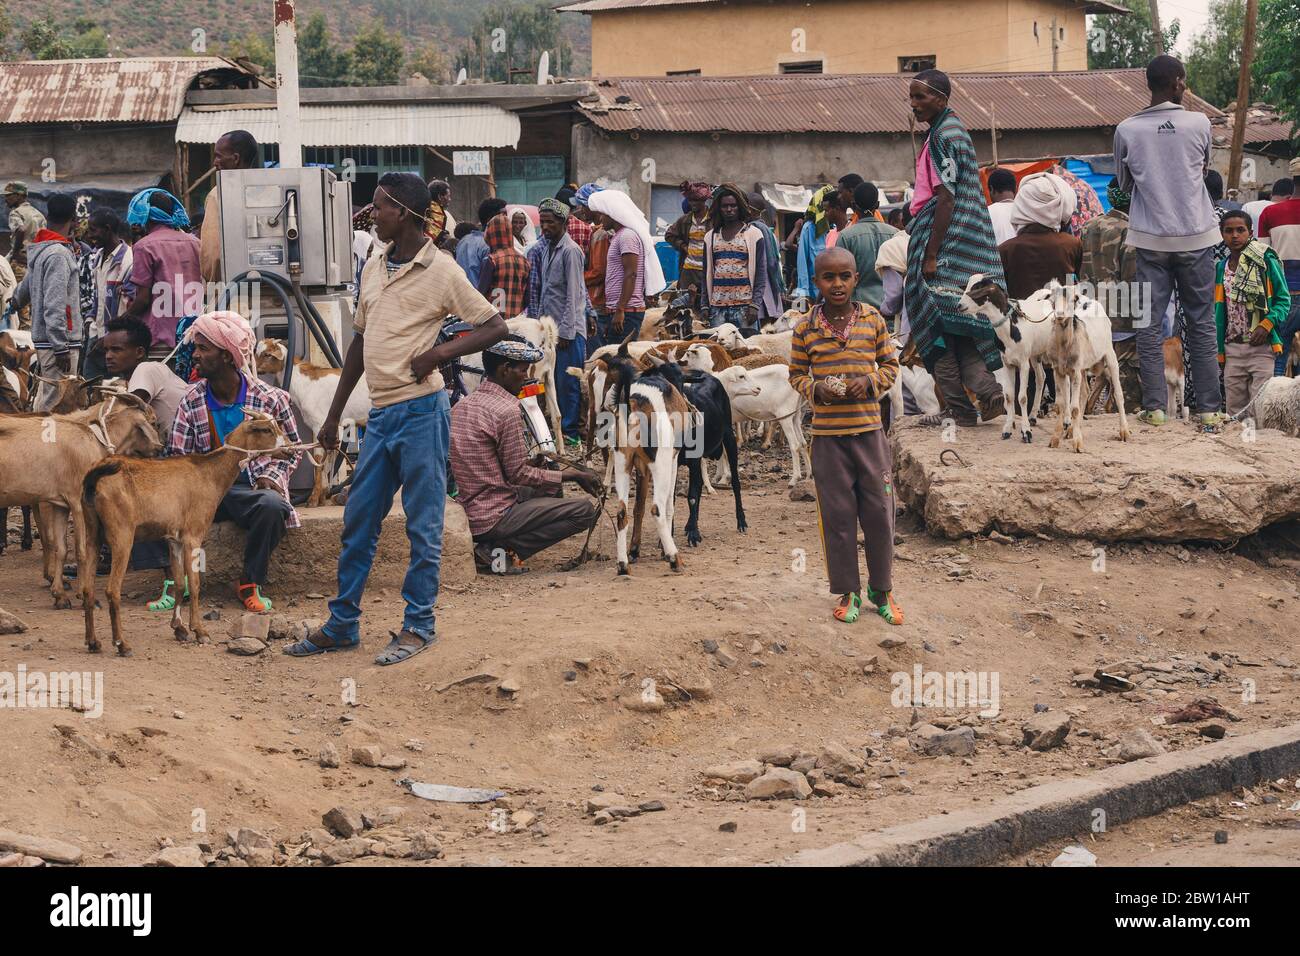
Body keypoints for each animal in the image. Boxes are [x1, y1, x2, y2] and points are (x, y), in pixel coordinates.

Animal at [0, 395, 159, 606]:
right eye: (153, 421)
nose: (160, 448)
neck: (94, 440)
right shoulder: (78, 503)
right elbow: (82, 550)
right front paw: (84, 595)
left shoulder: (60, 504)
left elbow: (61, 548)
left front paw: (59, 594)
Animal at [79, 411, 296, 658]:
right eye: (266, 430)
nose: (290, 450)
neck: (209, 473)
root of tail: (94, 479)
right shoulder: (194, 535)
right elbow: (194, 583)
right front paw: (199, 630)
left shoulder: (174, 538)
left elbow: (180, 583)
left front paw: (179, 628)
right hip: (122, 534)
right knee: (112, 590)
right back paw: (122, 644)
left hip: (92, 533)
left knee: (87, 589)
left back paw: (93, 642)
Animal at [254, 343, 369, 509]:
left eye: (267, 354)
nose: (255, 368)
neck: (305, 384)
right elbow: (328, 457)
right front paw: (323, 495)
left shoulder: (319, 423)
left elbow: (319, 461)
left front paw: (313, 499)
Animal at [1040, 282, 1133, 455]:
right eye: (1052, 300)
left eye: (1072, 299)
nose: (1060, 314)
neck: (1064, 345)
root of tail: (1091, 301)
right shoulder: (1058, 370)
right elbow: (1061, 405)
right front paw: (1055, 439)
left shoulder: (1075, 371)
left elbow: (1075, 408)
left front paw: (1078, 444)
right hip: (1083, 367)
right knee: (1085, 392)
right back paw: (1071, 430)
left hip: (1110, 355)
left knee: (1118, 393)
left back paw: (1124, 431)